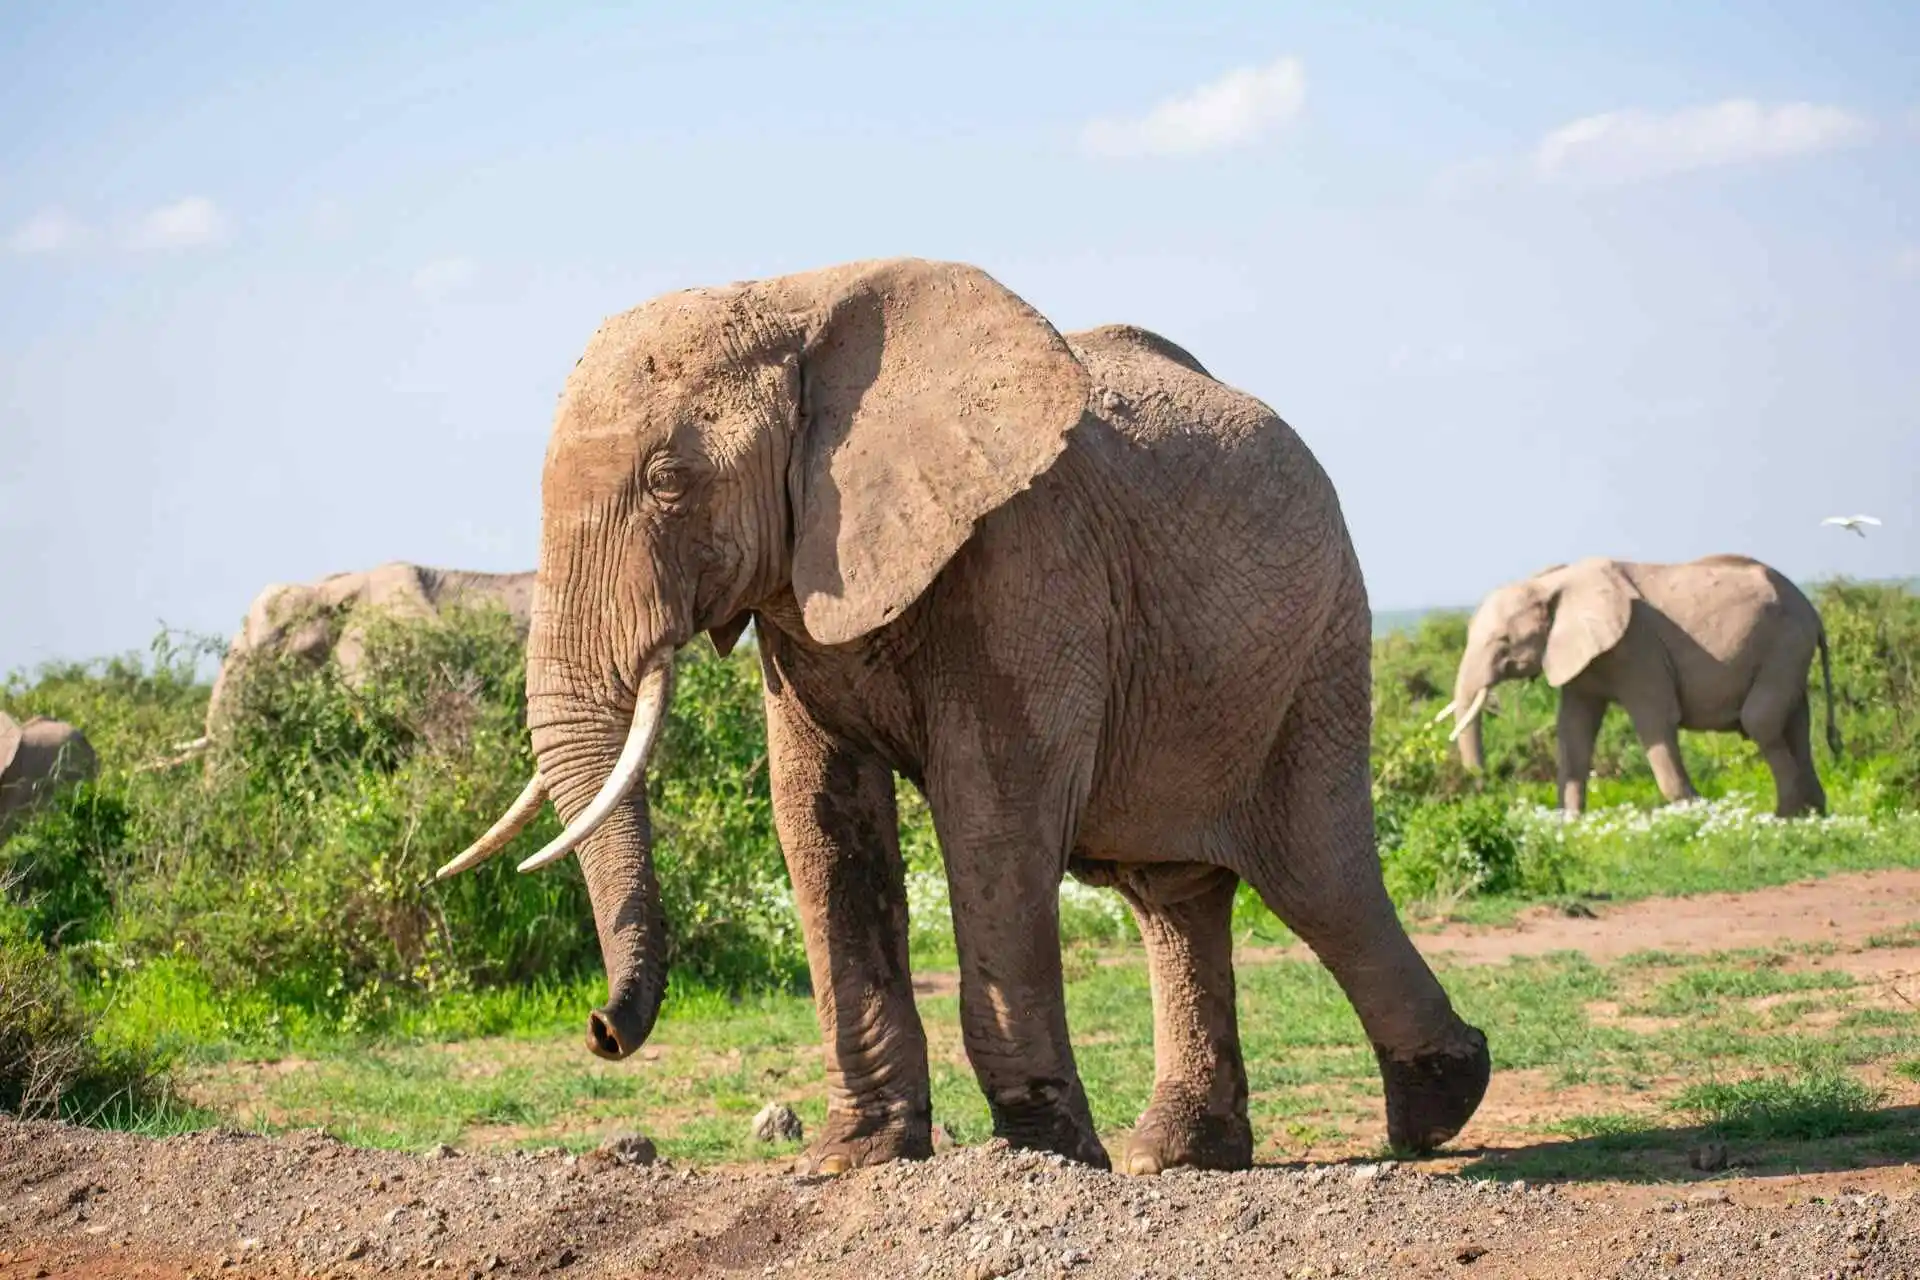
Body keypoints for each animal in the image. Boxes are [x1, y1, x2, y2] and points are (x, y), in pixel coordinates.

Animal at [441, 260, 1489, 1182]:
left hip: (1317, 643)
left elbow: (993, 814)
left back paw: (1441, 1109)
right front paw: (853, 1159)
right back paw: (1180, 1154)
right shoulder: (804, 583)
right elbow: (819, 820)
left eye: (668, 480)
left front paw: (1042, 1155)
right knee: (1175, 894)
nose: (600, 1030)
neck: (794, 302)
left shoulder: (1025, 553)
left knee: (1317, 875)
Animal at [1443, 556, 1843, 817]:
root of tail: (1813, 610)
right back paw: (1814, 814)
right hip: (1790, 650)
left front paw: (1698, 814)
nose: (1484, 783)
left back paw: (1785, 818)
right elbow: (1573, 729)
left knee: (1760, 721)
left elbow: (1656, 720)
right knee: (1796, 723)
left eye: (1504, 642)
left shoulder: (1637, 646)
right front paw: (1569, 824)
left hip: (1786, 643)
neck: (1551, 582)